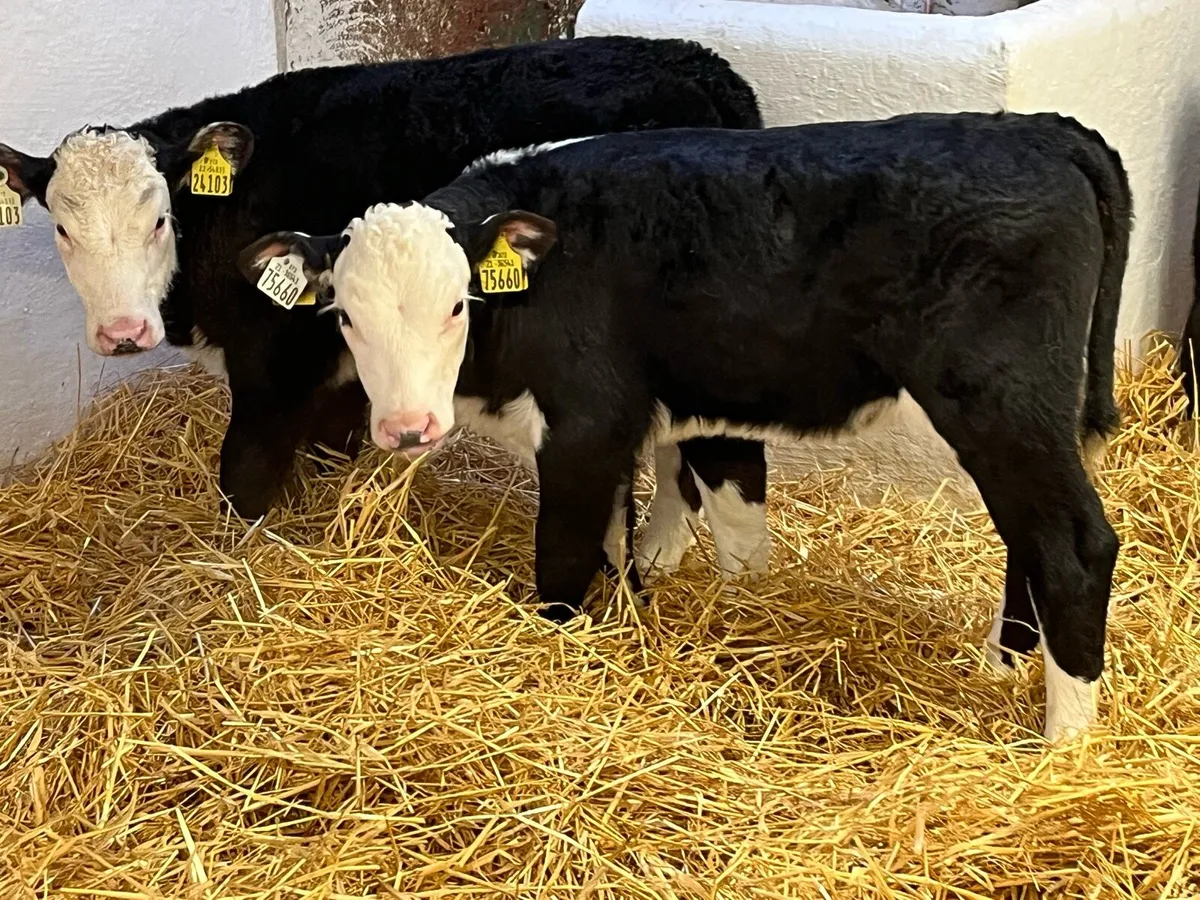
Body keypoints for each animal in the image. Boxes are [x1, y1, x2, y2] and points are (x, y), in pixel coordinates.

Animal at [0, 36, 772, 573]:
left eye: (159, 219)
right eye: (62, 229)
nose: (123, 332)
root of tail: (707, 68)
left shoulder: (275, 364)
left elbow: (244, 476)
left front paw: (233, 562)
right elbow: (327, 453)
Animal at [240, 112, 1132, 741]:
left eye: (458, 304)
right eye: (344, 316)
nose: (407, 427)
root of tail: (1043, 129)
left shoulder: (586, 422)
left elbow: (564, 557)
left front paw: (562, 652)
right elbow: (635, 536)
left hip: (1000, 401)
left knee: (1072, 545)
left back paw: (1063, 741)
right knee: (1027, 539)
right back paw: (1003, 664)